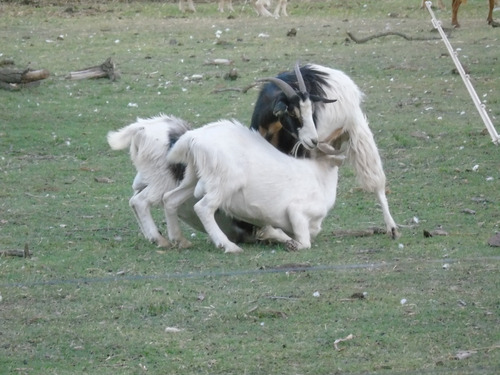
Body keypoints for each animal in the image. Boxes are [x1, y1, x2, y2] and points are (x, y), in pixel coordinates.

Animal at [163, 119, 344, 256]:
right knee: (202, 207)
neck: (320, 177)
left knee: (170, 198)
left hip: (192, 176)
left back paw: (179, 240)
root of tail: (193, 138)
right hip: (225, 183)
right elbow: (305, 242)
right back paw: (229, 246)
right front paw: (291, 244)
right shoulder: (297, 211)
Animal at [252, 62, 400, 238]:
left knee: (376, 179)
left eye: (311, 111)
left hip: (358, 133)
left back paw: (392, 227)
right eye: (292, 112)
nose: (313, 140)